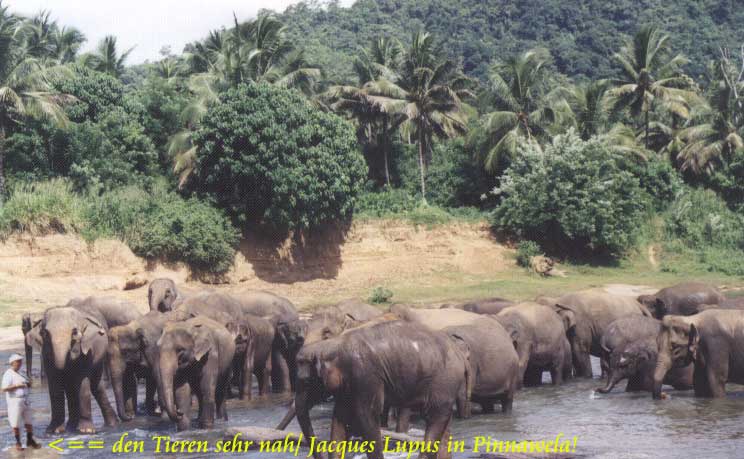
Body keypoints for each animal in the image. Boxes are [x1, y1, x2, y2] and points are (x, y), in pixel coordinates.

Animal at [41, 306, 117, 434]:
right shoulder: (46, 352)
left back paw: (112, 424)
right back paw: (71, 427)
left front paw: (86, 430)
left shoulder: (87, 351)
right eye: (46, 333)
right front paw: (53, 431)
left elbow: (82, 385)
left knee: (96, 387)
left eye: (75, 332)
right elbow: (55, 386)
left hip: (99, 359)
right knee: (71, 389)